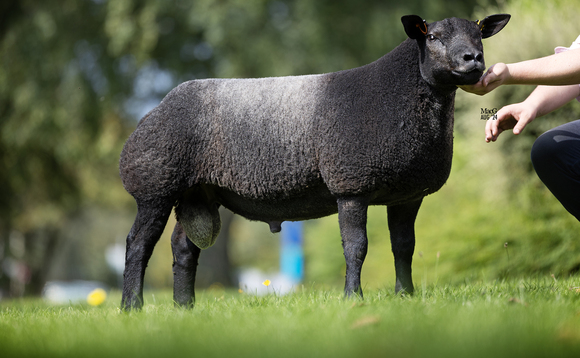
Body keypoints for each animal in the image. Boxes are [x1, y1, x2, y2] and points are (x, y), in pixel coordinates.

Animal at [120, 14, 510, 310]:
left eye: (479, 34)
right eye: (434, 37)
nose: (473, 59)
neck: (398, 95)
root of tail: (155, 110)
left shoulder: (407, 195)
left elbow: (404, 247)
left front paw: (406, 296)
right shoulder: (351, 186)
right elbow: (356, 247)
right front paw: (353, 298)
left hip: (197, 193)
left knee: (183, 248)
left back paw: (184, 307)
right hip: (155, 186)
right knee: (138, 245)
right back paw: (132, 307)